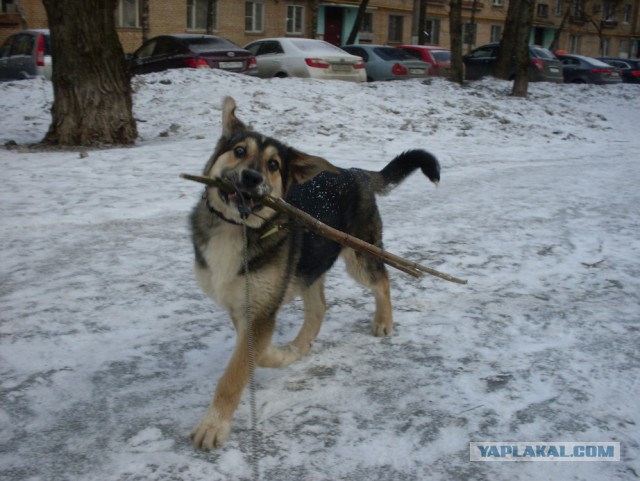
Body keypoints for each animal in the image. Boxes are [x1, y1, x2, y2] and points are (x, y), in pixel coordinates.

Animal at [189, 97, 440, 450]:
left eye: (274, 165)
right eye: (239, 151)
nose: (252, 178)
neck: (237, 229)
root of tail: (355, 173)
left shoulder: (261, 309)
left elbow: (235, 372)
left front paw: (213, 425)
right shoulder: (245, 305)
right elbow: (253, 352)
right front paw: (282, 354)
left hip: (358, 255)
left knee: (382, 280)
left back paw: (383, 321)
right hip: (311, 264)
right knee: (320, 308)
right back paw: (299, 346)